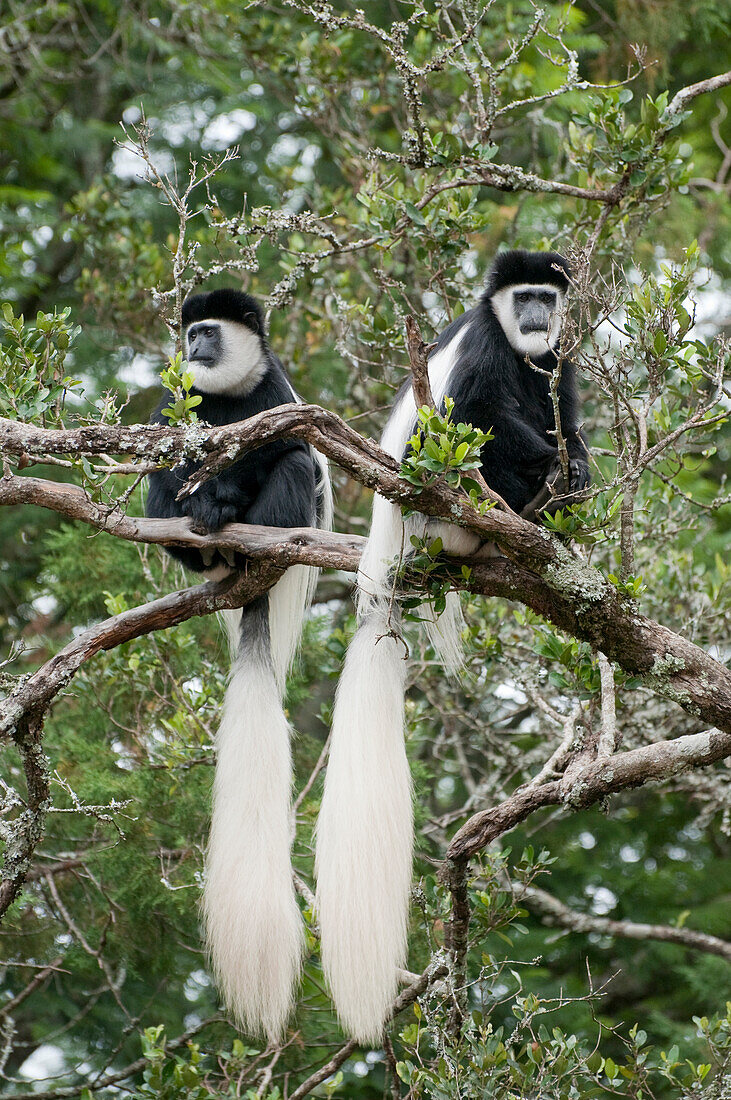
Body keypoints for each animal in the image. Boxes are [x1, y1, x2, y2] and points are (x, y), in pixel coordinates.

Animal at [146, 286, 334, 1038]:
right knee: (156, 479)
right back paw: (195, 538)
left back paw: (245, 536)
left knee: (294, 467)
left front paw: (222, 497)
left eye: (209, 331)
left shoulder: (275, 395)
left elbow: (283, 445)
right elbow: (163, 445)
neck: (226, 393)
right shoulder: (181, 400)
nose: (192, 348)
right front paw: (197, 497)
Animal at [316, 247, 589, 1038]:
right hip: (436, 502)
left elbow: (564, 408)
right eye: (522, 298)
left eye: (546, 298)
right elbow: (477, 414)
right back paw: (533, 498)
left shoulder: (558, 357)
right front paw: (558, 466)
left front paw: (579, 463)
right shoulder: (486, 350)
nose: (536, 316)